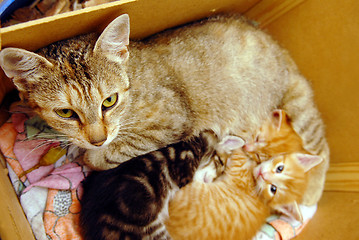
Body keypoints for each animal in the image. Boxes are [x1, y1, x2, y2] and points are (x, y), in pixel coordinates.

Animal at [0, 13, 330, 204]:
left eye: (109, 101)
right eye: (66, 113)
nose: (97, 138)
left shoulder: (172, 121)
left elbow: (111, 152)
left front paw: (91, 155)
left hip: (298, 105)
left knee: (320, 150)